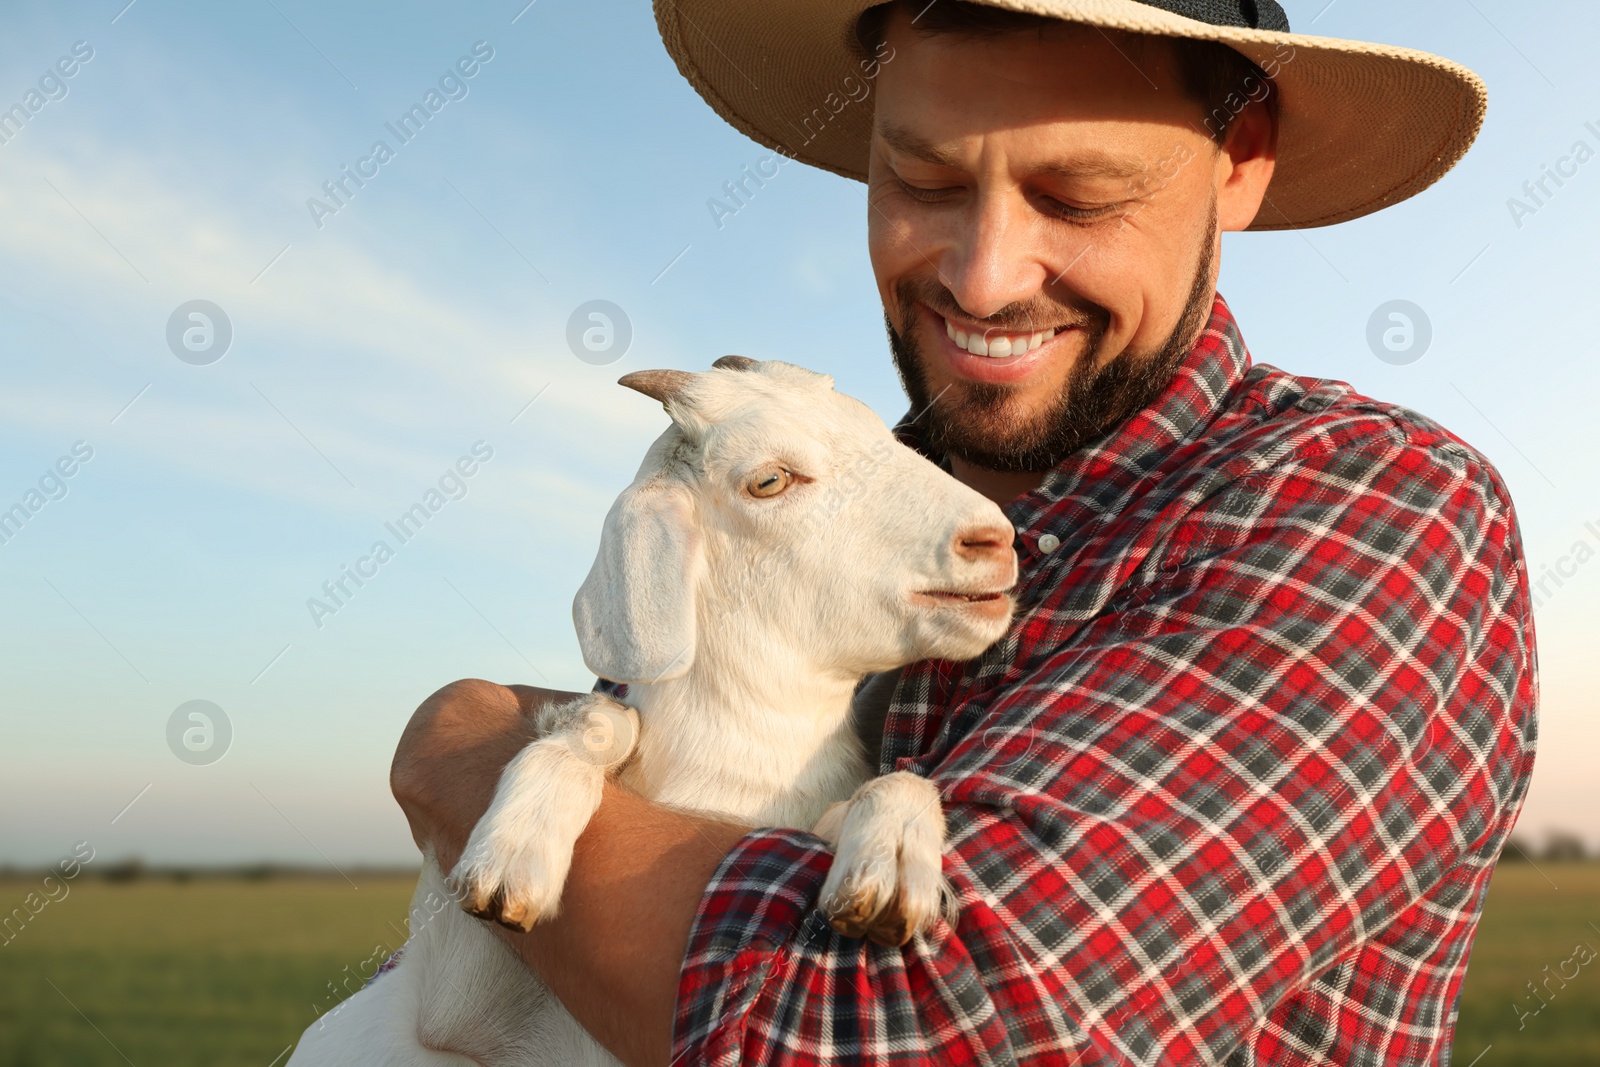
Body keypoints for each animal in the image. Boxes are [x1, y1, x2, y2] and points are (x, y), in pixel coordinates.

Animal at [286, 358, 1011, 1067]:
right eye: (769, 479)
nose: (994, 539)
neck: (743, 773)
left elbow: (894, 785)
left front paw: (891, 860)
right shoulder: (451, 1003)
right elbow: (605, 723)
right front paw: (515, 851)